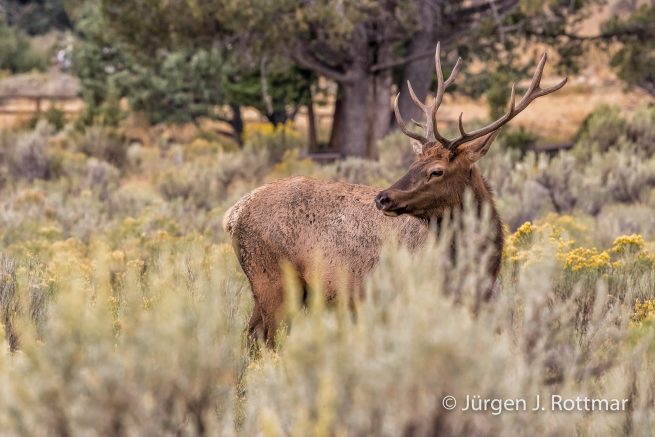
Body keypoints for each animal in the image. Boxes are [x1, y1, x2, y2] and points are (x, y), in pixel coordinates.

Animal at [223, 43, 567, 345]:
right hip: (274, 282)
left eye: (437, 170)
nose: (383, 198)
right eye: (414, 162)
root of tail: (233, 214)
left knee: (251, 336)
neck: (479, 265)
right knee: (267, 341)